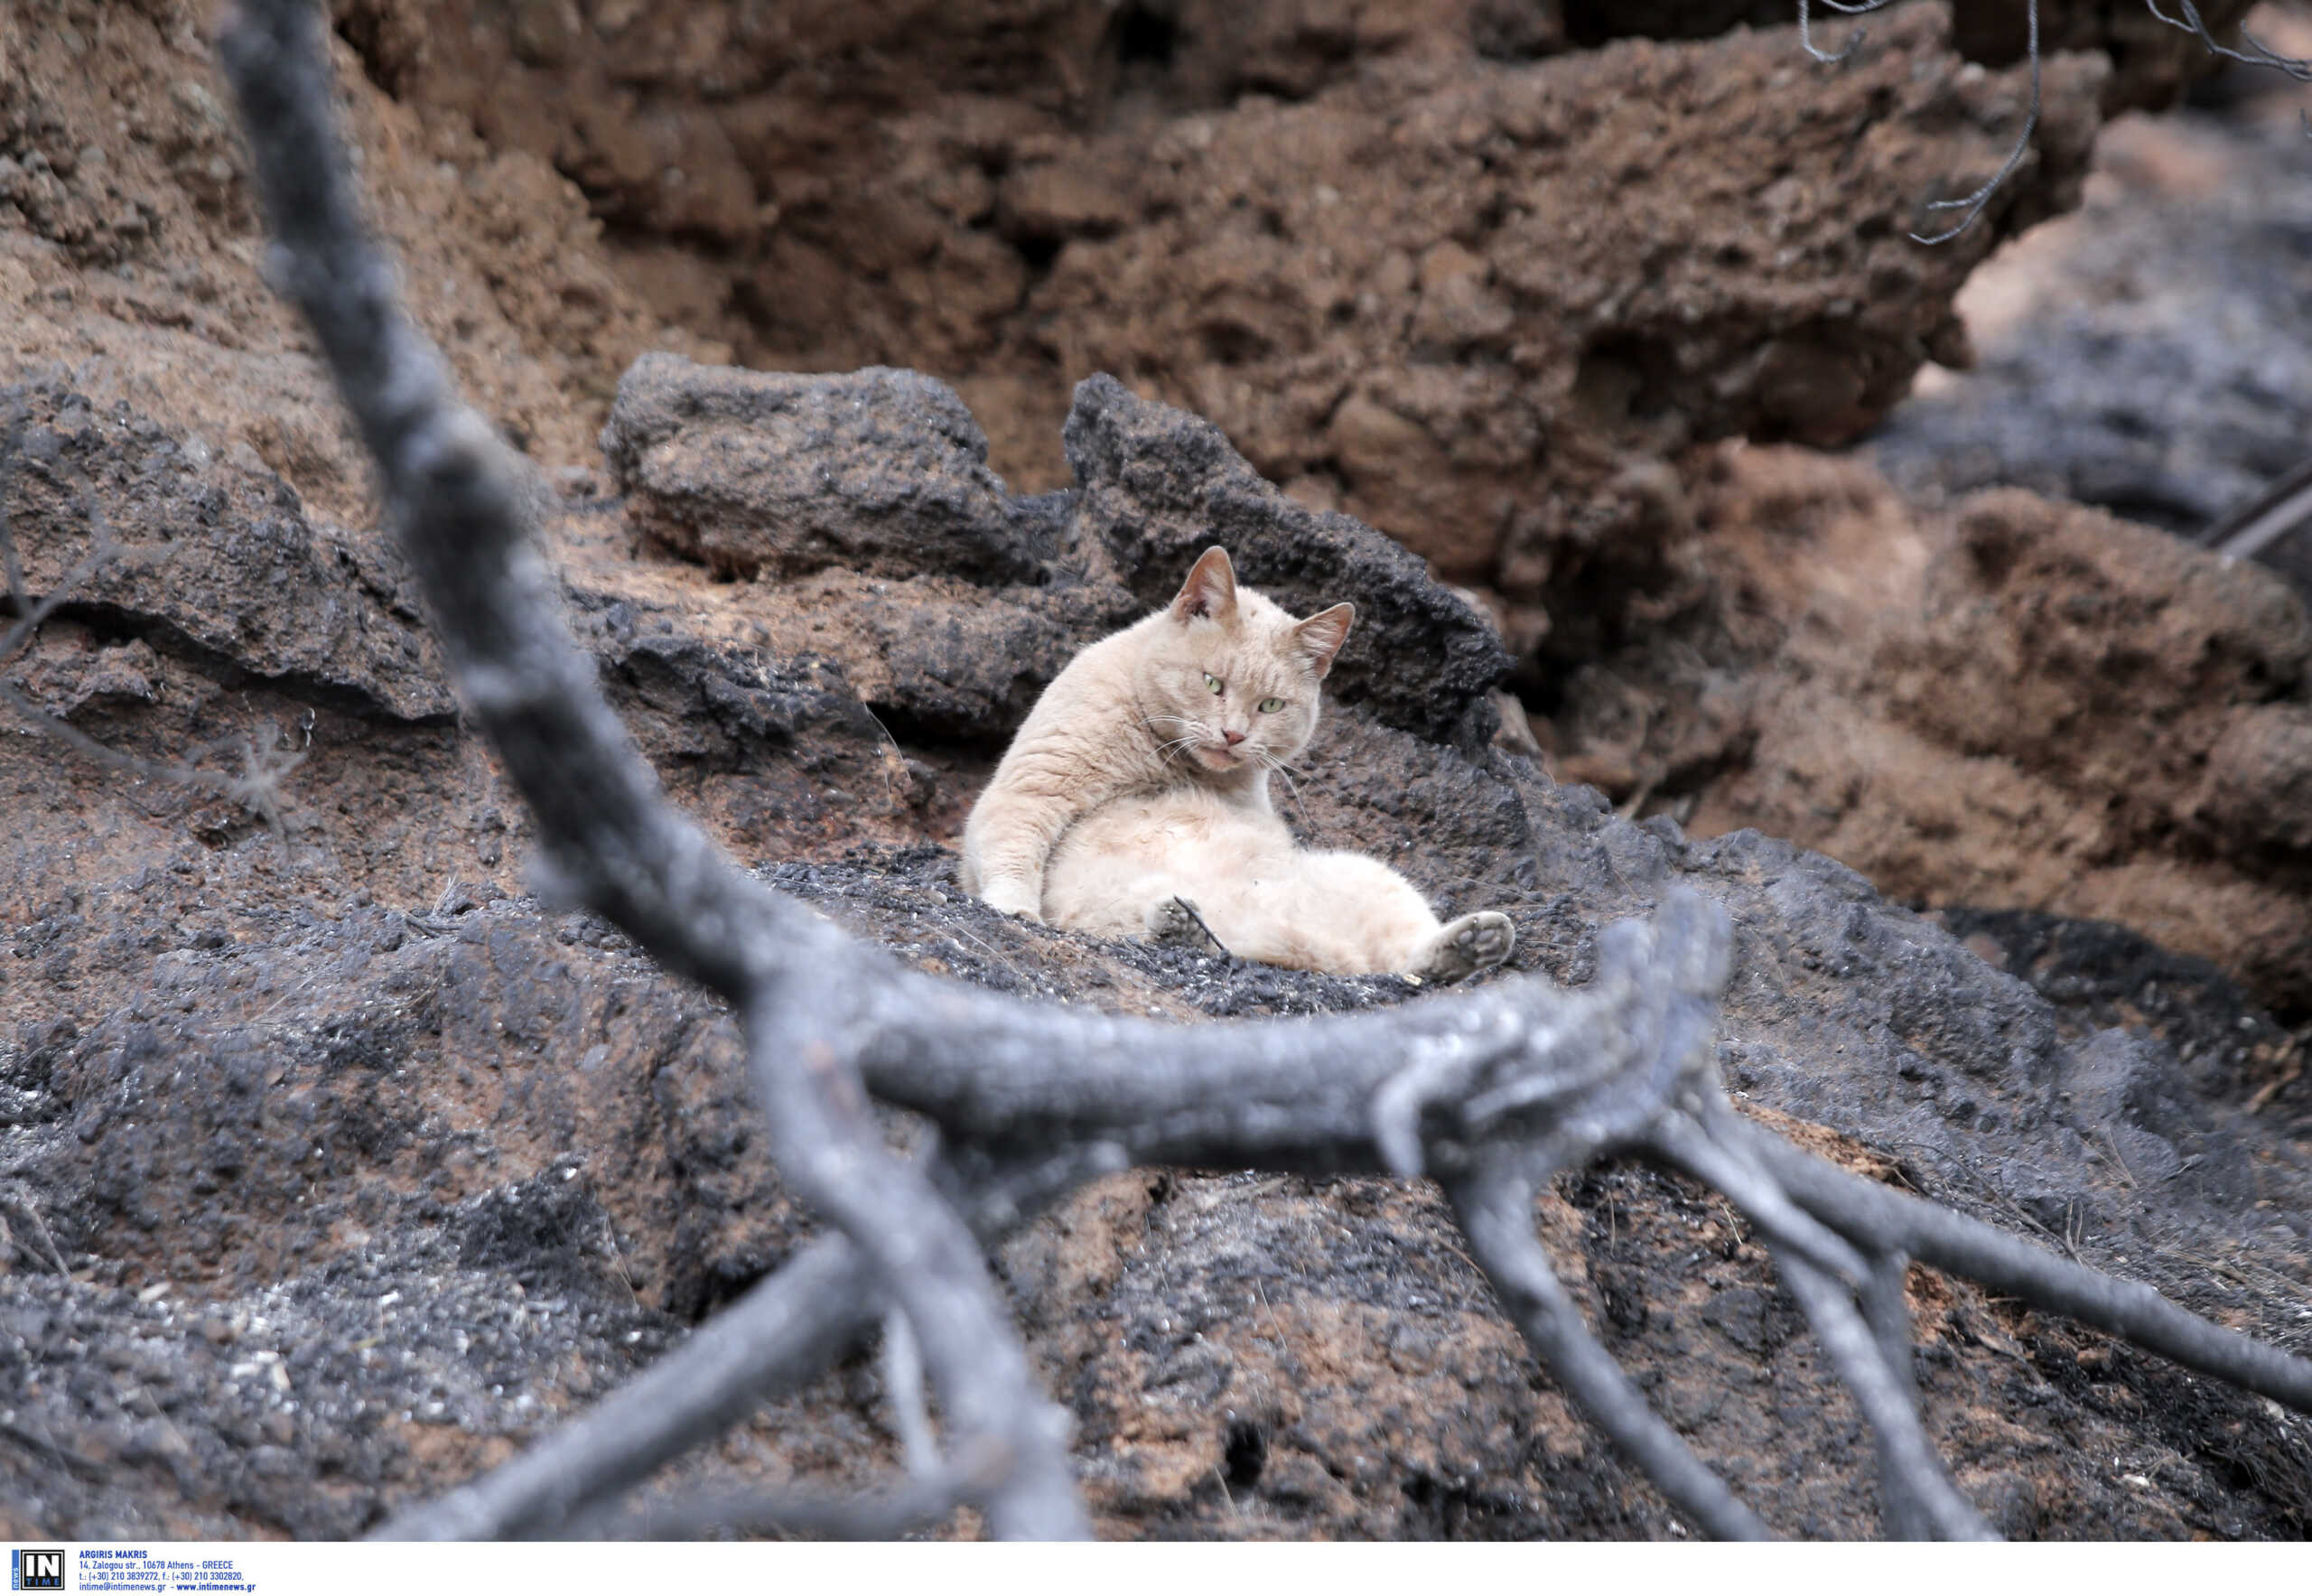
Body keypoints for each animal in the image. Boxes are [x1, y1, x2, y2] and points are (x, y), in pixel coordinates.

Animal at [956, 546, 1516, 980]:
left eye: (1270, 705)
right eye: (1212, 683)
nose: (1233, 734)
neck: (1166, 760)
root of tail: (1332, 956)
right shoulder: (1031, 790)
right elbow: (1013, 852)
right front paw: (1016, 909)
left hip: (1372, 878)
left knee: (1401, 962)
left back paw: (1473, 943)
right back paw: (1182, 924)